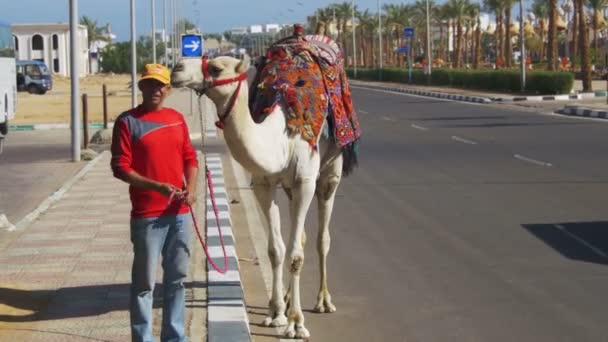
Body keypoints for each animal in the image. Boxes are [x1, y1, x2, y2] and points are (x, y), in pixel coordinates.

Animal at [170, 32, 360, 340]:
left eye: (216, 68)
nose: (176, 70)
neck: (281, 138)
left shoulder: (305, 181)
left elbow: (296, 255)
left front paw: (296, 323)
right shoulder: (263, 183)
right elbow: (276, 249)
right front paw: (276, 312)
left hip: (330, 171)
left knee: (322, 237)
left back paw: (323, 301)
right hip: (290, 188)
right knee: (300, 236)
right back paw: (287, 298)